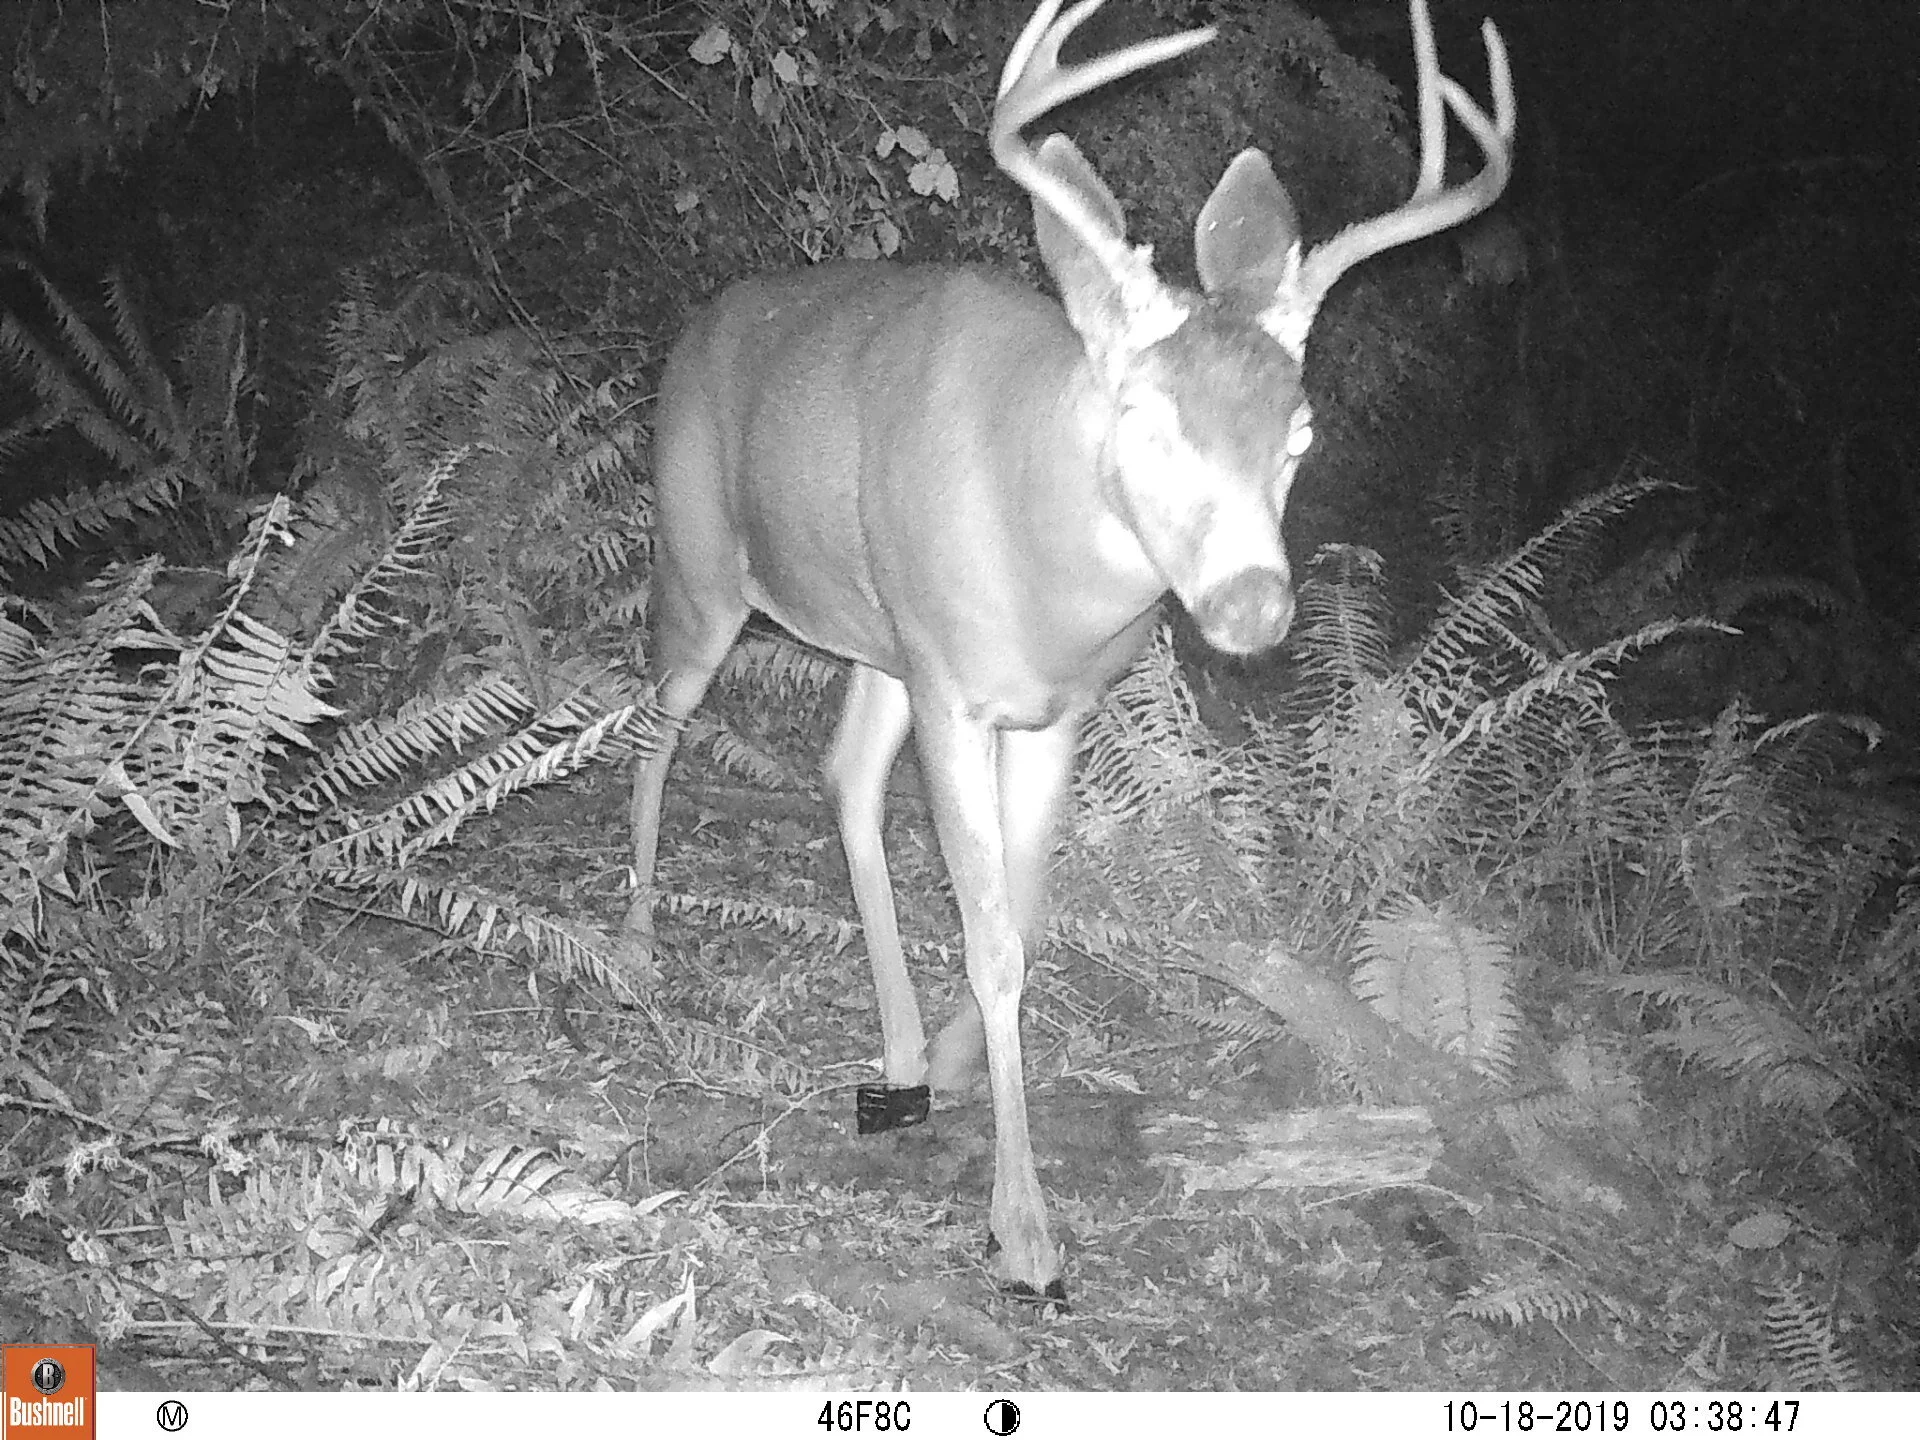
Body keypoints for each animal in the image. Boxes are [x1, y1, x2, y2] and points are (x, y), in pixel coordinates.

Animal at [623, 0, 1514, 1301]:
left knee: (841, 777)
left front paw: (953, 1069)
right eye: (1144, 418)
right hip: (701, 566)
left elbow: (1028, 920)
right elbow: (993, 935)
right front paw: (1026, 1236)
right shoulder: (957, 691)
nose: (1252, 607)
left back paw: (900, 1064)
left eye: (1299, 431)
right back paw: (635, 940)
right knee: (656, 719)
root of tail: (699, 326)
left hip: (879, 637)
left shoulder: (1050, 710)